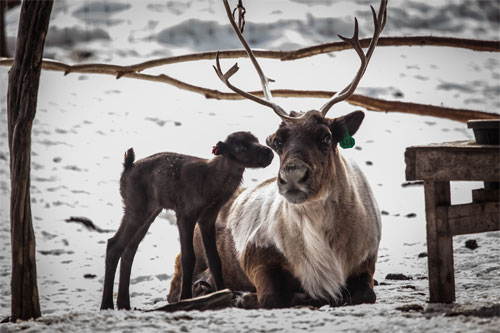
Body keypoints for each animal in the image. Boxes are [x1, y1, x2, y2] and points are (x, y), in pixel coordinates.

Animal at [100, 130, 274, 308]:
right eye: (239, 146)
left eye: (256, 140)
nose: (269, 152)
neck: (213, 184)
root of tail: (127, 166)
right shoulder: (186, 214)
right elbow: (188, 258)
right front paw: (186, 298)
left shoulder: (208, 217)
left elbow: (214, 259)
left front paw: (223, 292)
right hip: (135, 208)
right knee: (114, 244)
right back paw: (107, 304)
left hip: (150, 211)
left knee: (129, 248)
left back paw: (124, 304)